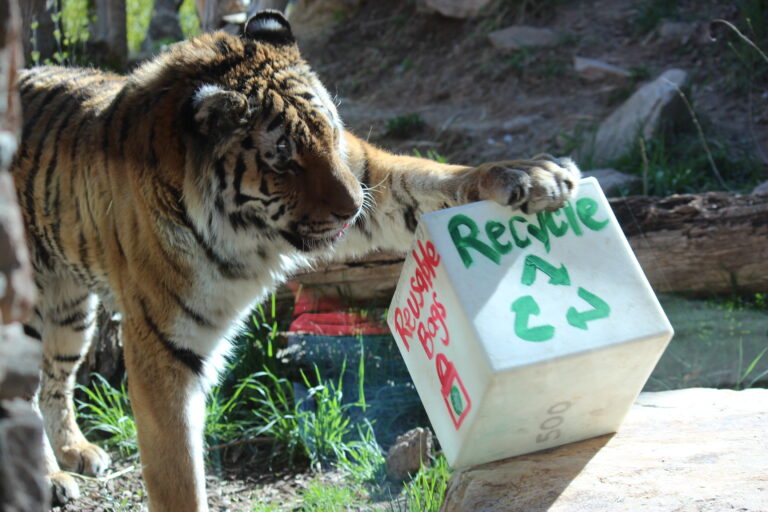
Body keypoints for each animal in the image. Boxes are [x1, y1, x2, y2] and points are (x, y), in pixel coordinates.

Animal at [13, 11, 579, 511]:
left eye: (329, 131)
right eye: (282, 157)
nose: (352, 208)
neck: (245, 235)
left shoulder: (369, 173)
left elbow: (433, 178)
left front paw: (535, 177)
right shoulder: (163, 349)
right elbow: (179, 480)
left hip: (69, 311)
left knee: (54, 382)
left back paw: (76, 452)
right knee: (23, 395)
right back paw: (51, 479)